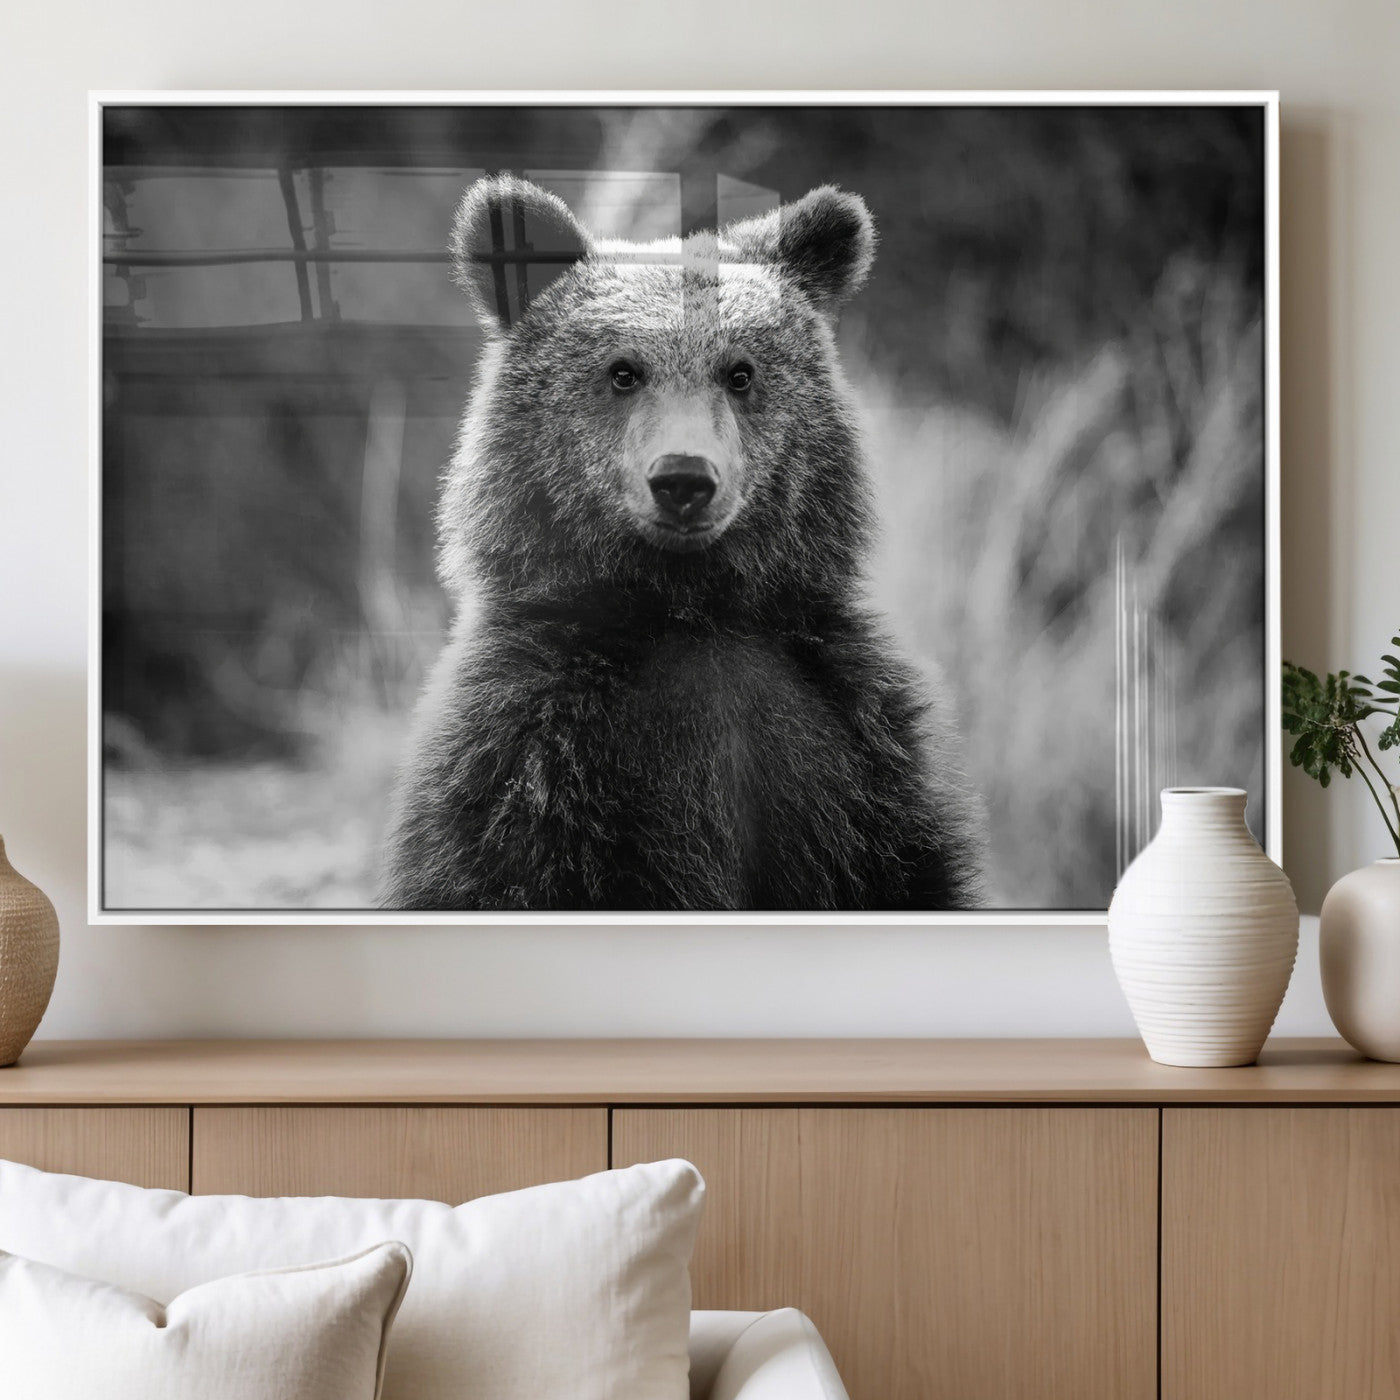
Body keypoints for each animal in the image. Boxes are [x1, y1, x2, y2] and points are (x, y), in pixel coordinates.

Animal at [380, 174, 984, 912]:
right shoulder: (527, 757)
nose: (684, 478)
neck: (691, 609)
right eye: (622, 371)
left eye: (740, 372)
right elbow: (497, 871)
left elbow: (907, 871)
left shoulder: (857, 749)